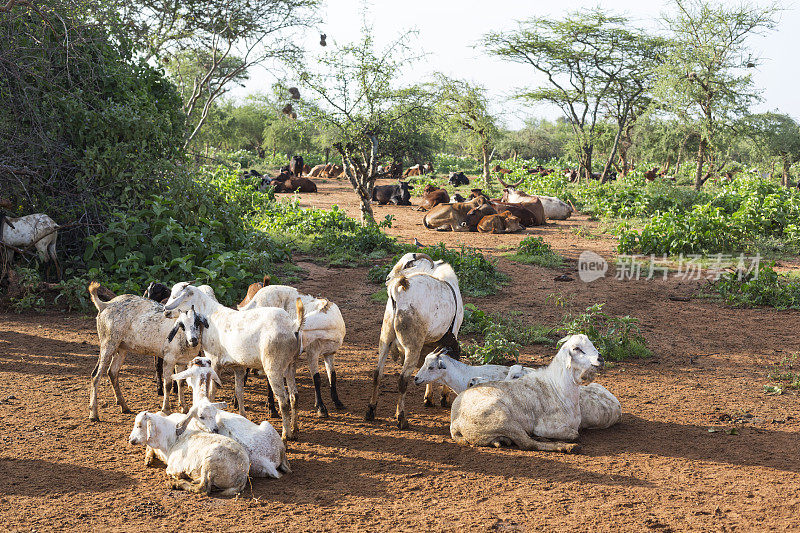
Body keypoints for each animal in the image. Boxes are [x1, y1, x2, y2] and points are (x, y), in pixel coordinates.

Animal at [162, 282, 304, 440]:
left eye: (176, 296)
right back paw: (295, 429)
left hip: (274, 367)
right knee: (294, 396)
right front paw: (243, 416)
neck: (210, 315)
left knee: (283, 401)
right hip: (291, 364)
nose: (165, 311)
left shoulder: (214, 362)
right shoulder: (239, 366)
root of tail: (293, 325)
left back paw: (286, 434)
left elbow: (211, 392)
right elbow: (239, 392)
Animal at [241, 284, 346, 418]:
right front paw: (321, 409)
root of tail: (255, 299)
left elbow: (332, 376)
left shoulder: (329, 353)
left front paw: (338, 402)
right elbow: (316, 379)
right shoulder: (312, 352)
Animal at [454, 334, 604, 450]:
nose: (600, 358)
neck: (558, 387)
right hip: (502, 418)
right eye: (577, 348)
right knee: (527, 444)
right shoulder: (546, 427)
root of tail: (455, 424)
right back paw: (566, 447)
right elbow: (575, 434)